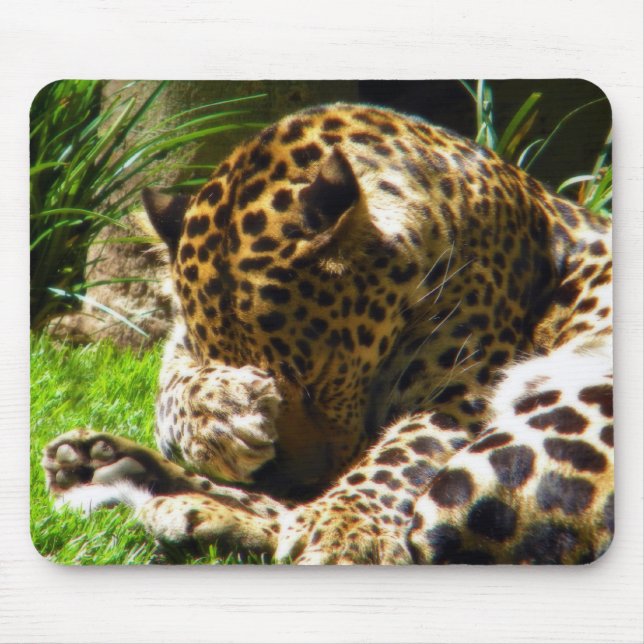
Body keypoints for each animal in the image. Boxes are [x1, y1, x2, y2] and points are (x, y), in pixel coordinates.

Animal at [42, 103, 613, 564]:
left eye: (319, 379)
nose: (297, 479)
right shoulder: (180, 344)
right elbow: (172, 390)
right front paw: (220, 414)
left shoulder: (461, 389)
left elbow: (401, 451)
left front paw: (347, 525)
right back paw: (105, 466)